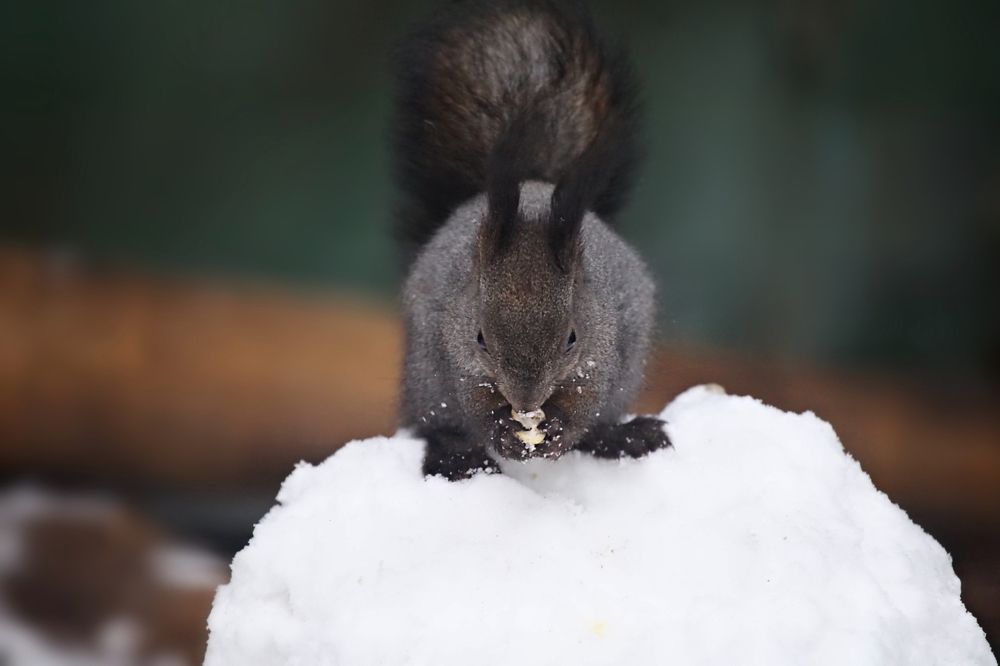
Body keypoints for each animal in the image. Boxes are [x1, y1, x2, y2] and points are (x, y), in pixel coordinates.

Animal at [394, 0, 670, 480]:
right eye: (481, 337)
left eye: (572, 338)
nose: (526, 403)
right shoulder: (457, 346)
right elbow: (473, 400)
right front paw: (502, 430)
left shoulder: (600, 349)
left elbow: (585, 402)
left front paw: (558, 430)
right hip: (426, 379)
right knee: (437, 425)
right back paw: (455, 456)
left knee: (600, 424)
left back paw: (623, 437)